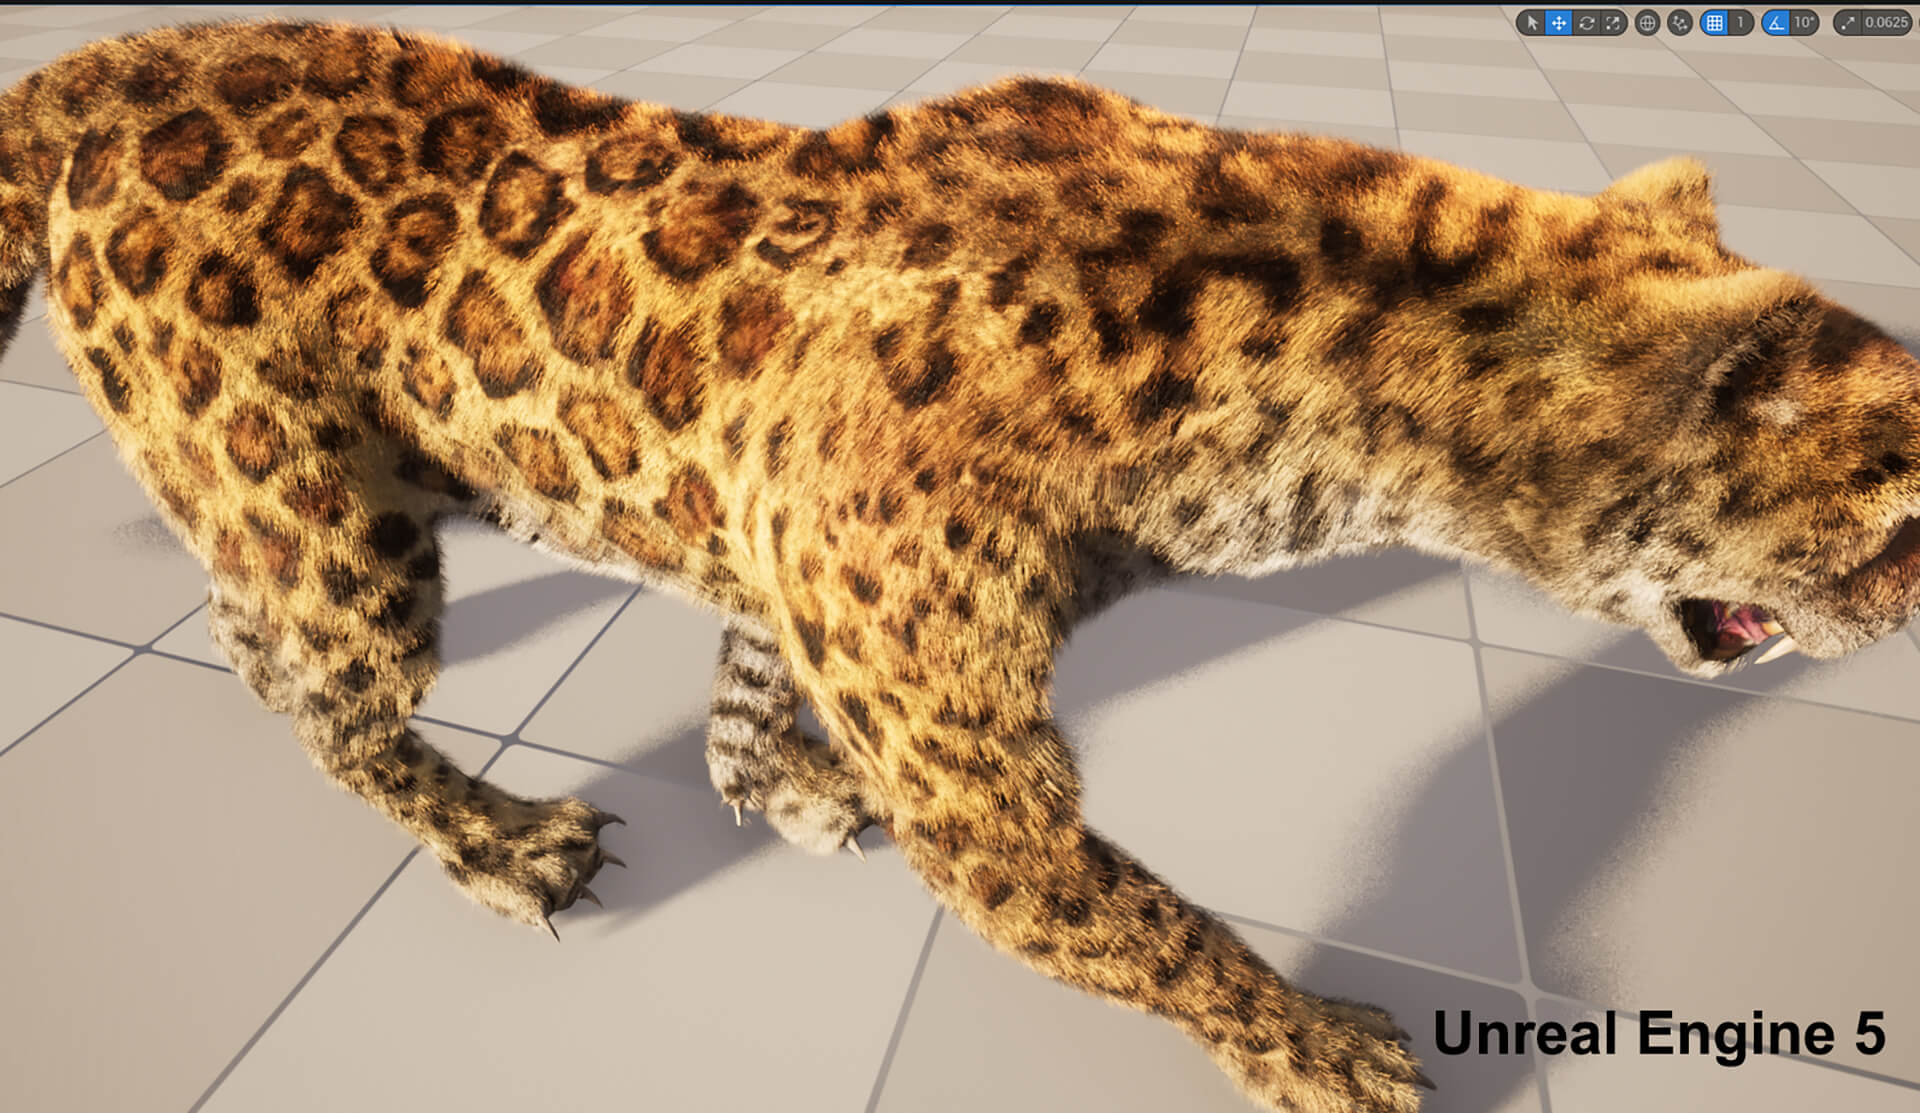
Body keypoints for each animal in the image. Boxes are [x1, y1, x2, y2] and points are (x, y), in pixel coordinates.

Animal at [5, 19, 1920, 1113]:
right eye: (1904, 498)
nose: (1914, 599)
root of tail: (108, 62)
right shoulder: (979, 780)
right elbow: (1150, 924)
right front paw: (1324, 1051)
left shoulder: (797, 567)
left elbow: (751, 673)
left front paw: (777, 786)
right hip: (321, 509)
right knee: (322, 688)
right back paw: (496, 839)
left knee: (249, 633)